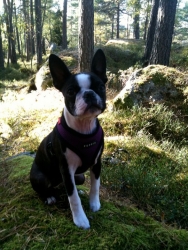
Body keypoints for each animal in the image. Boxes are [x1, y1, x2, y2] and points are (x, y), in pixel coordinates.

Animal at [30, 48, 107, 229]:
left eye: (100, 87)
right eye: (71, 91)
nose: (89, 94)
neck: (84, 128)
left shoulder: (97, 163)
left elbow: (95, 185)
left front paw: (94, 204)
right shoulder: (66, 168)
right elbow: (73, 198)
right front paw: (80, 220)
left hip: (79, 176)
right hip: (41, 177)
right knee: (43, 189)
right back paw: (49, 197)